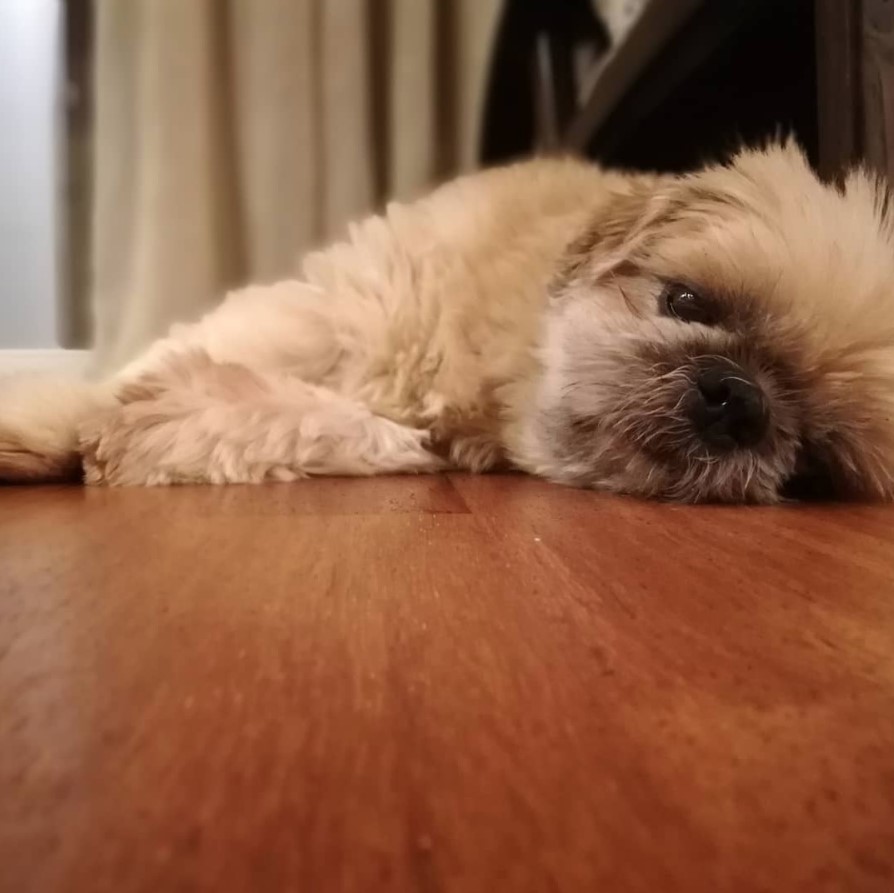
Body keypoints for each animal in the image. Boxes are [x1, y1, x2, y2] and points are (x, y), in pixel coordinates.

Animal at [1, 141, 894, 502]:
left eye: (813, 462)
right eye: (686, 301)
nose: (738, 398)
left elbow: (313, 425)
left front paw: (145, 424)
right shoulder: (335, 309)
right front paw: (51, 424)